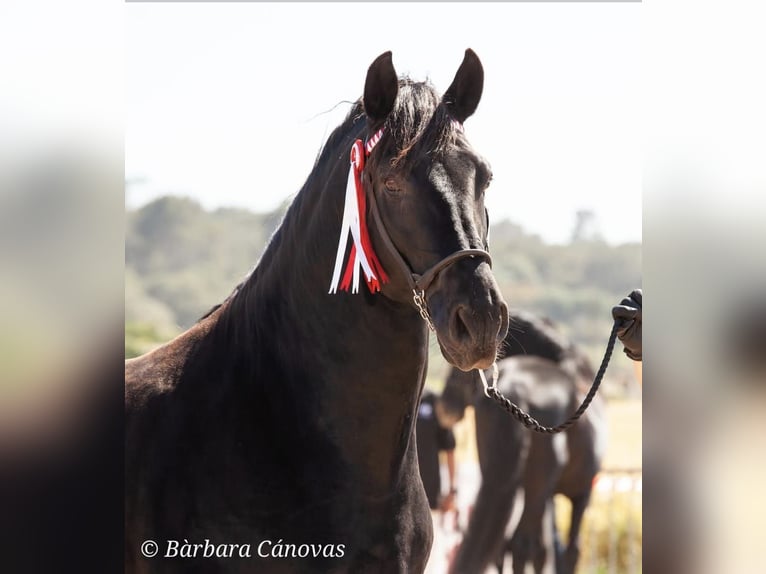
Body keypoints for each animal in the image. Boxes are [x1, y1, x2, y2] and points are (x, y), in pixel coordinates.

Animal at [438, 311, 607, 574]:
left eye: (459, 370)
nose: (443, 408)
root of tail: (517, 384)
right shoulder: (580, 493)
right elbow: (569, 550)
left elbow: (546, 549)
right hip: (537, 487)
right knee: (521, 544)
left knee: (506, 545)